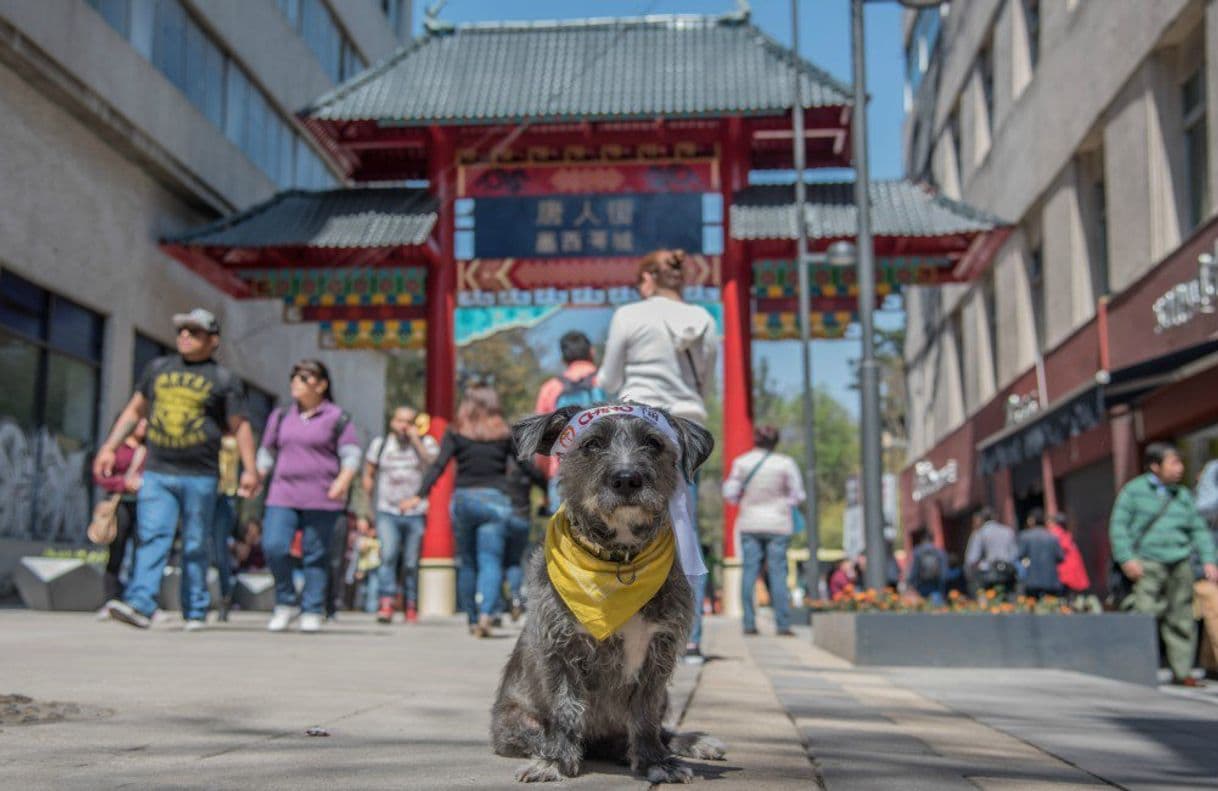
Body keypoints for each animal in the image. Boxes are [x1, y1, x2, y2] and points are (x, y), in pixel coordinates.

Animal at [492, 404, 725, 780]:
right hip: (514, 722)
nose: (627, 478)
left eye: (653, 442)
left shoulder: (659, 654)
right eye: (592, 444)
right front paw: (556, 762)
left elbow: (644, 714)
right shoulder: (561, 648)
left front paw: (655, 761)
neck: (619, 562)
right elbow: (565, 706)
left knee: (657, 728)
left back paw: (686, 743)